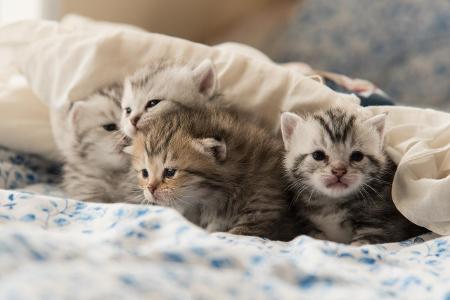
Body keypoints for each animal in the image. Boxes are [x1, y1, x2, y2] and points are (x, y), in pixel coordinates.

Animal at [282, 108, 428, 244]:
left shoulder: (382, 225)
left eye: (357, 156)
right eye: (318, 155)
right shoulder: (306, 224)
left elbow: (362, 243)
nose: (339, 171)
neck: (333, 203)